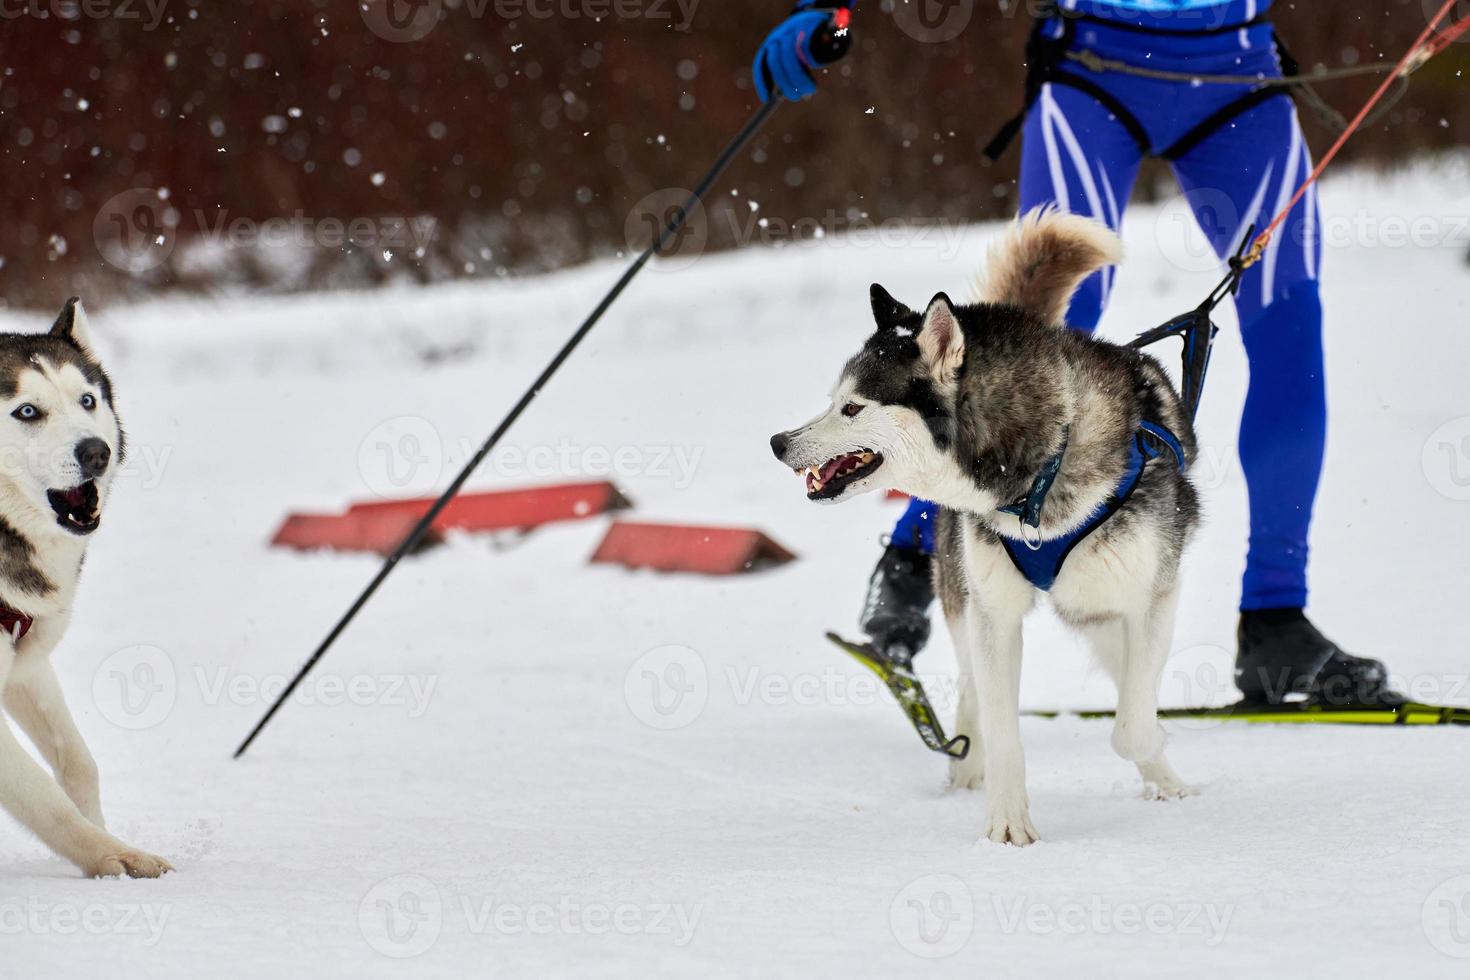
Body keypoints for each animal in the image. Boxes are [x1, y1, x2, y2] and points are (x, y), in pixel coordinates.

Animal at [0, 301, 170, 881]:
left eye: (87, 400)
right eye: (27, 411)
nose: (97, 452)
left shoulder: (23, 664)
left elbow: (77, 762)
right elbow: (41, 794)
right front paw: (113, 856)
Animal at [776, 211, 1199, 846]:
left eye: (852, 408)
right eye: (833, 402)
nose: (778, 443)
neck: (1036, 479)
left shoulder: (1152, 598)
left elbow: (1133, 725)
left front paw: (1156, 756)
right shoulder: (995, 615)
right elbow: (1006, 732)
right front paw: (1006, 822)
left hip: (1098, 606)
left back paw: (1166, 778)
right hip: (970, 595)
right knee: (974, 683)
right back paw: (965, 761)